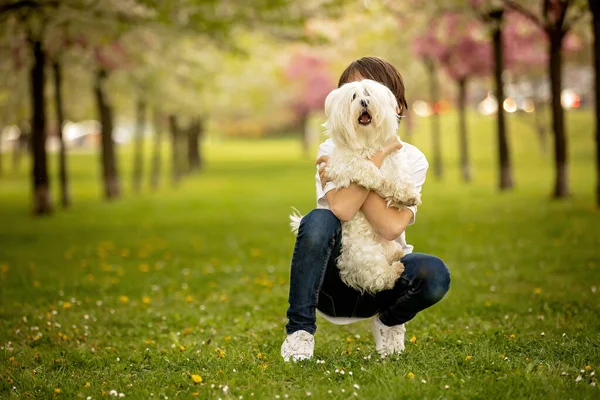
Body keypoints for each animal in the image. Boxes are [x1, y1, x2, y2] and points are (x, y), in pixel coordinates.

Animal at [290, 80, 422, 294]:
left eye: (368, 94)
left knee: (392, 255)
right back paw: (394, 270)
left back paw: (396, 258)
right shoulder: (342, 164)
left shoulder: (395, 161)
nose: (364, 102)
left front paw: (407, 194)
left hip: (389, 247)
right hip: (364, 255)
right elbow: (366, 168)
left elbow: (400, 178)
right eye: (353, 97)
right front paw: (379, 181)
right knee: (378, 278)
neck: (366, 142)